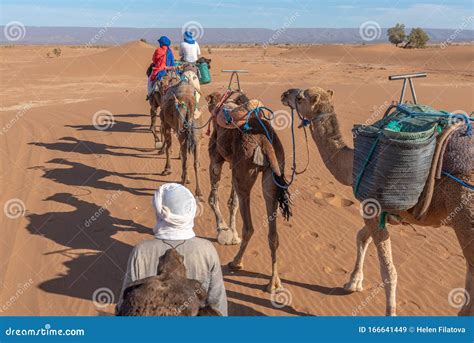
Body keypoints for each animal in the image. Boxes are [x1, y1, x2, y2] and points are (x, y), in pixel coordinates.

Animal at [160, 70, 203, 199]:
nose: (160, 83)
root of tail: (189, 103)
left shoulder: (166, 125)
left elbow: (168, 148)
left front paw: (167, 169)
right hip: (196, 136)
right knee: (195, 162)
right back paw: (198, 191)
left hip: (182, 132)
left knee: (186, 160)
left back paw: (183, 184)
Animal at [205, 91, 290, 292]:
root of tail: (265, 142)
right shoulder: (233, 165)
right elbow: (232, 202)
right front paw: (231, 232)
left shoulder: (216, 158)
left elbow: (213, 197)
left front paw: (222, 229)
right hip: (270, 176)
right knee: (273, 234)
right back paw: (273, 283)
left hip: (244, 169)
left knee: (249, 226)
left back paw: (236, 262)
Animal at [284, 87, 472, 316]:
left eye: (300, 97)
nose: (285, 94)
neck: (351, 164)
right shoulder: (377, 212)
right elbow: (361, 237)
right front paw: (353, 282)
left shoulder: (372, 207)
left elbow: (388, 272)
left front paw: (389, 312)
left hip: (465, 215)